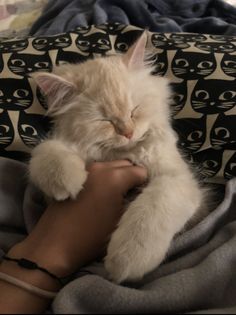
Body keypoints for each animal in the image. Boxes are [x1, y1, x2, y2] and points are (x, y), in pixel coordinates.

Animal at [30, 32, 206, 284]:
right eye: (105, 121)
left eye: (134, 110)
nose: (128, 133)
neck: (125, 154)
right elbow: (46, 150)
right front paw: (65, 182)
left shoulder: (177, 179)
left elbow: (151, 210)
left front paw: (126, 260)